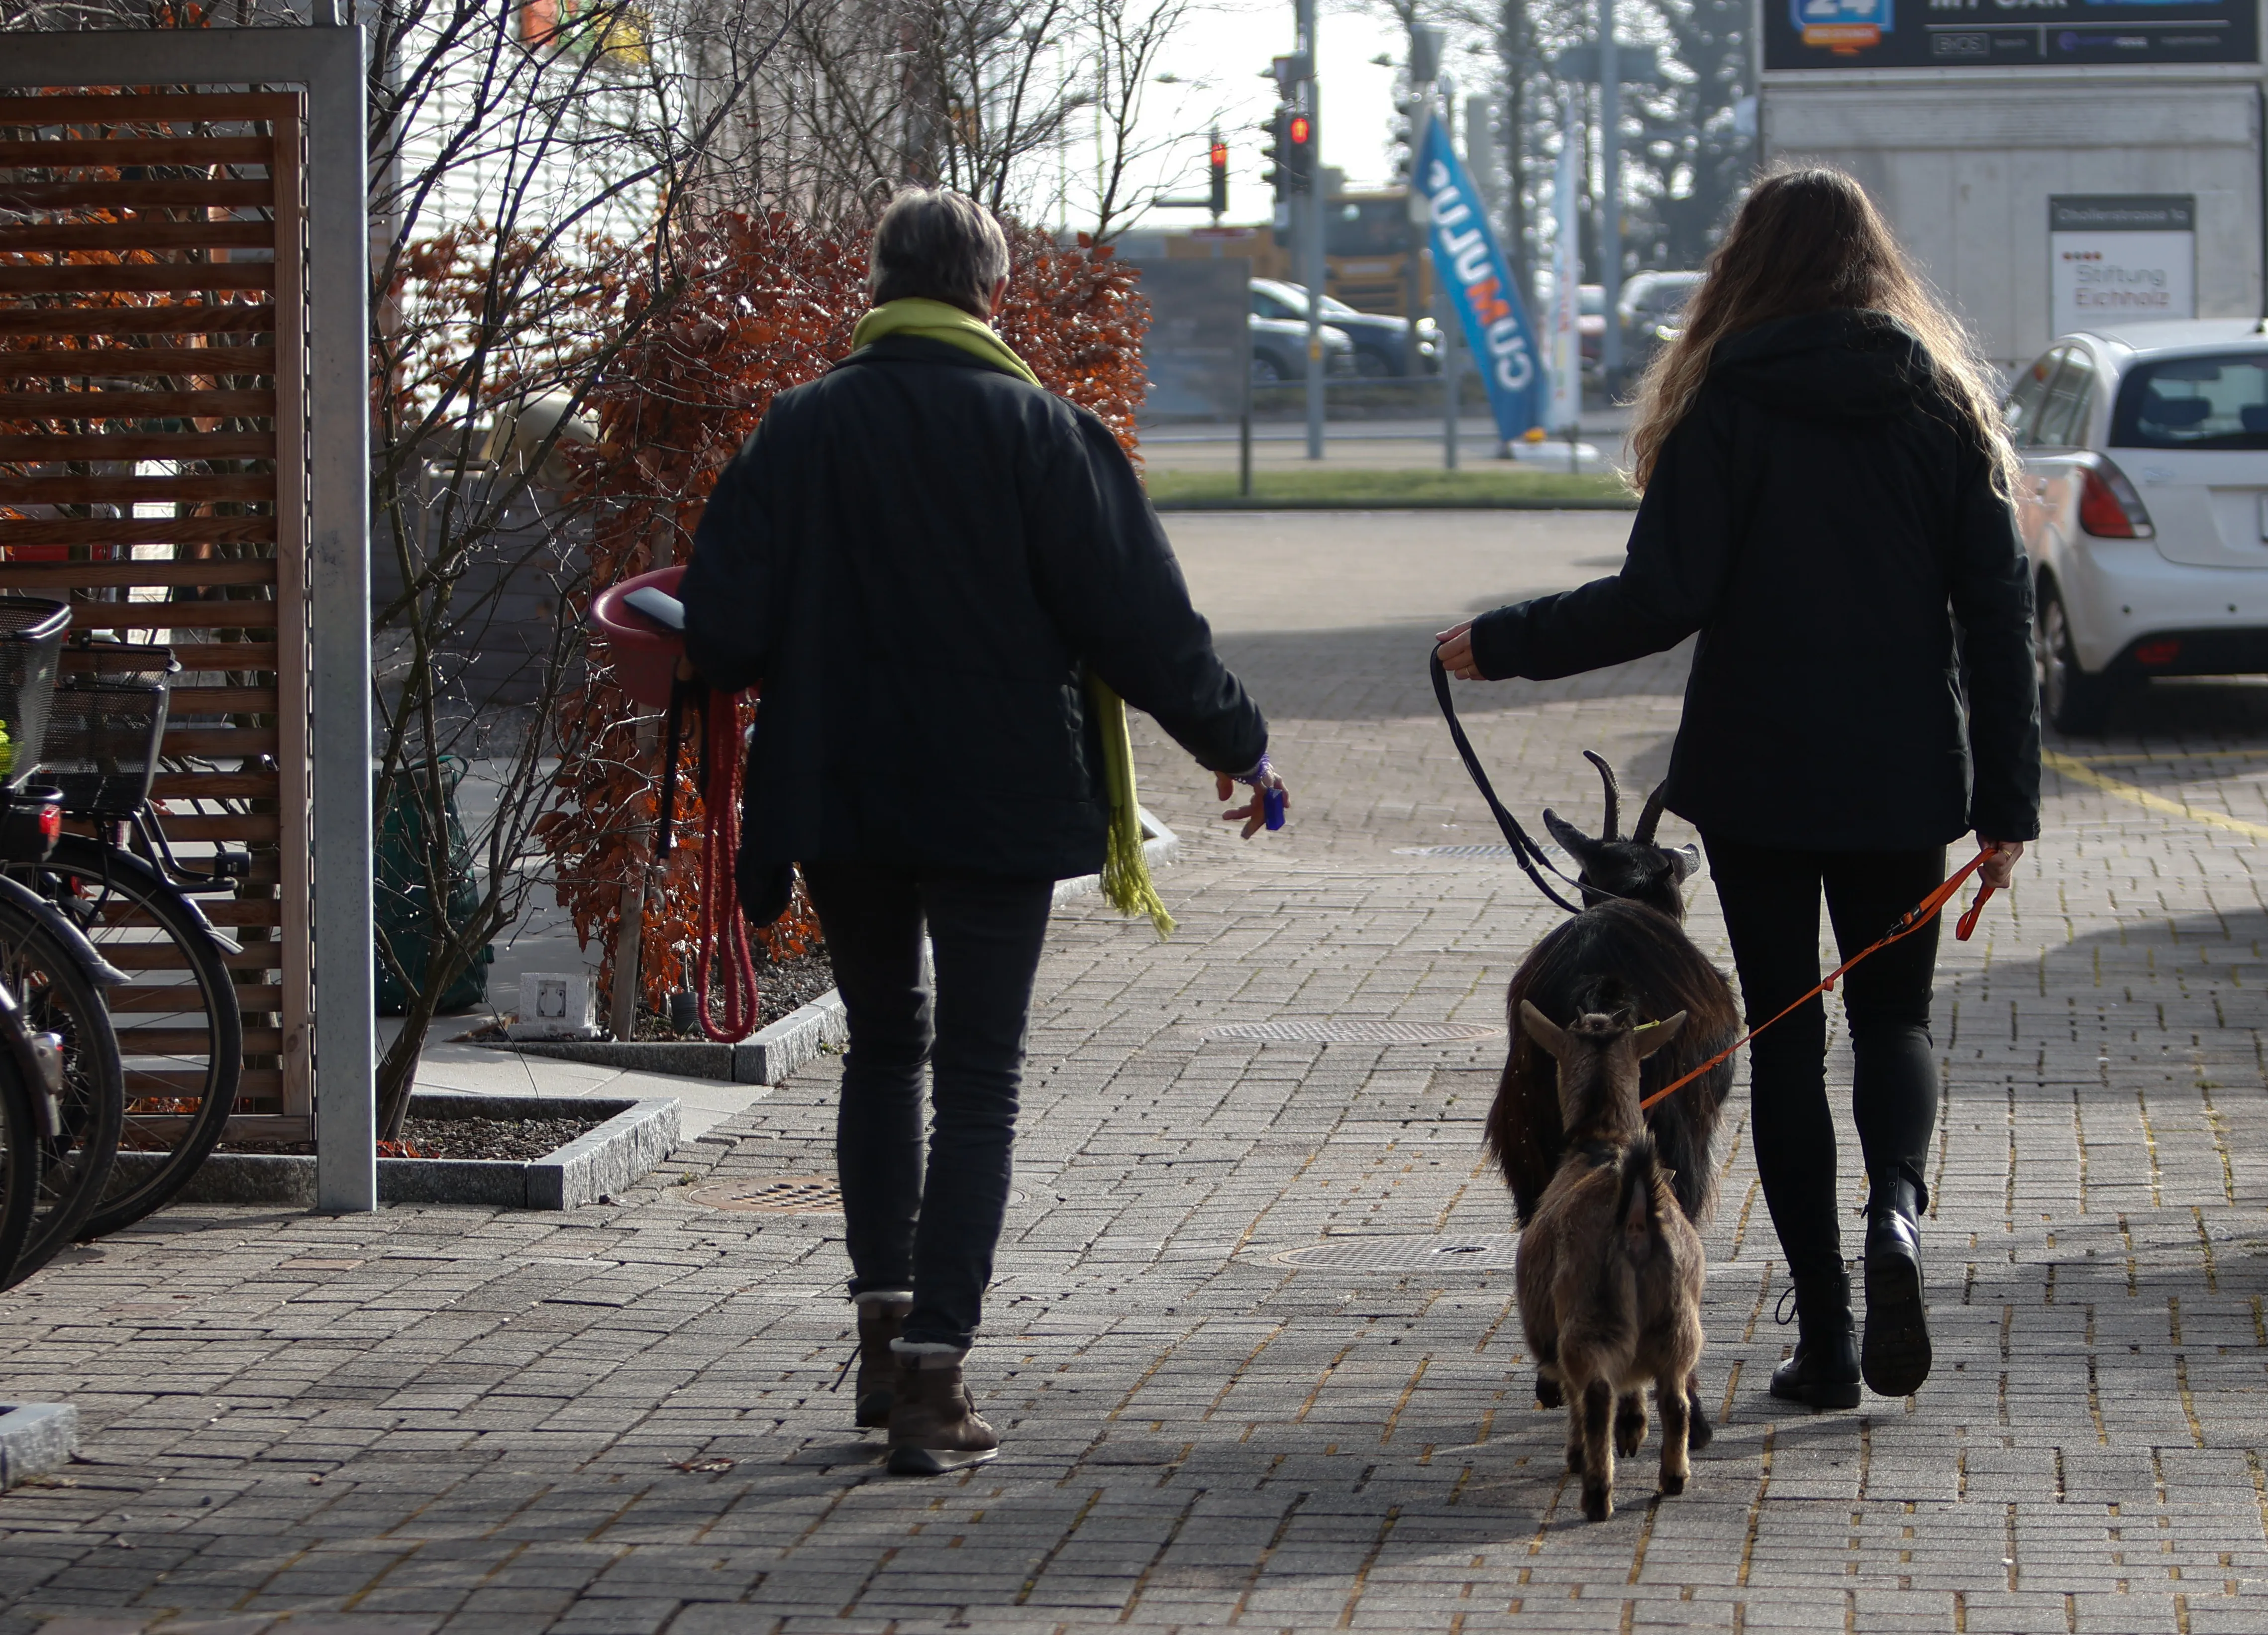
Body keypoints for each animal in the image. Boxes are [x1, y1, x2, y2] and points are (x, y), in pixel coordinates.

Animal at [1524, 1002, 1705, 1524]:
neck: (1602, 1139)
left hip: (1591, 1317)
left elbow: (1579, 1399)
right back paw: (1673, 1476)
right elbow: (1635, 1389)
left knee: (1596, 1396)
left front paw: (1578, 1453)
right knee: (1676, 1399)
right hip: (1677, 1322)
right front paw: (1634, 1429)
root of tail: (1637, 1218)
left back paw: (1596, 1491)